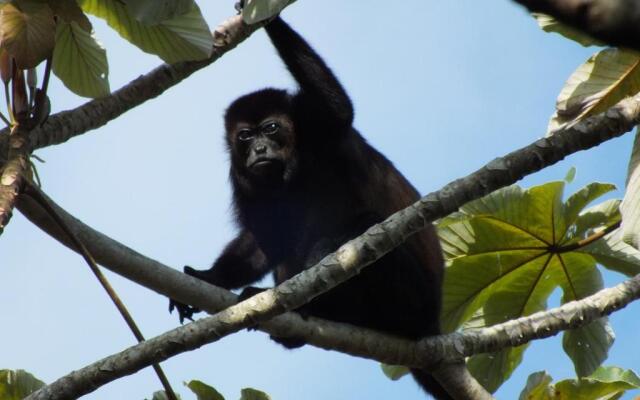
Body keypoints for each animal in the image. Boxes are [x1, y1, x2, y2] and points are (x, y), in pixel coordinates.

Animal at [170, 16, 450, 400]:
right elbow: (264, 241)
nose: (259, 150)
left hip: (412, 302)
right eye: (245, 136)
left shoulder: (320, 129)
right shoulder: (241, 176)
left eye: (271, 129)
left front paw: (266, 17)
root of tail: (432, 324)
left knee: (367, 229)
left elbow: (339, 108)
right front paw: (207, 276)